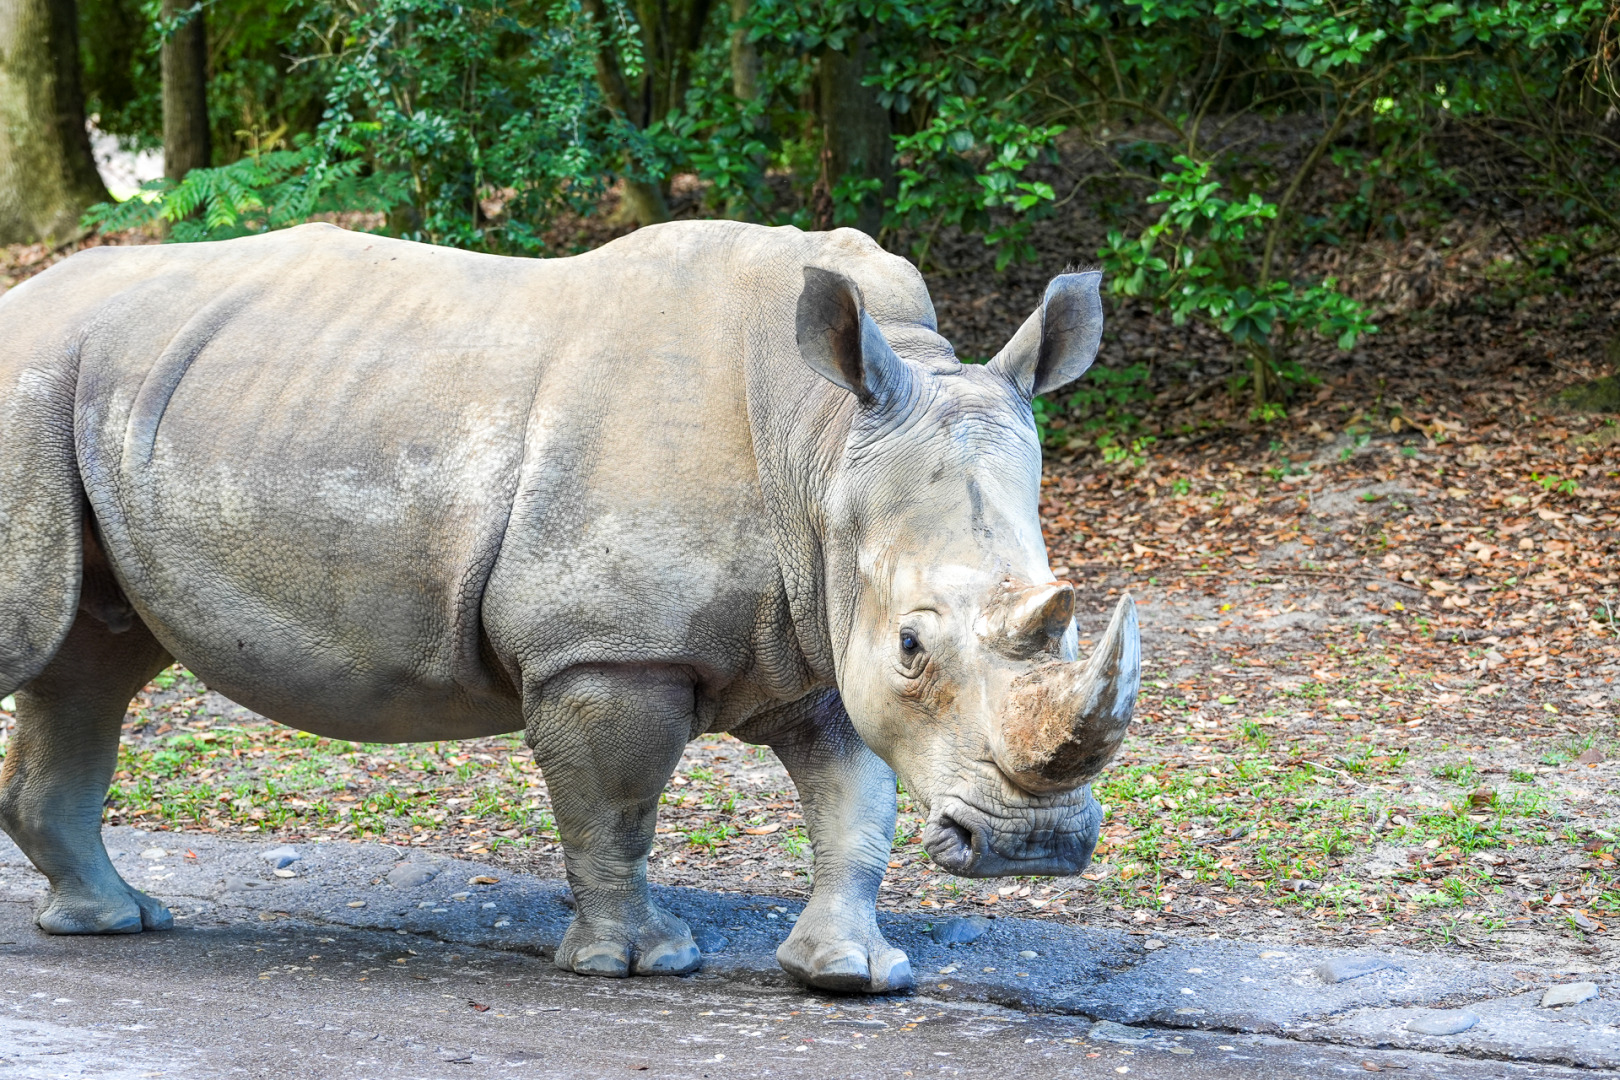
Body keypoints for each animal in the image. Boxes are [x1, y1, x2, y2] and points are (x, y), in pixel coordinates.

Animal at [0, 220, 1138, 992]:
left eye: (1077, 624)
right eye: (913, 644)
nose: (1035, 849)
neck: (821, 441)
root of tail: (28, 293)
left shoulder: (818, 627)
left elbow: (854, 803)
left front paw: (851, 973)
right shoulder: (608, 649)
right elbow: (619, 805)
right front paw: (639, 964)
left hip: (113, 400)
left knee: (91, 665)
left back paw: (115, 921)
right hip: (29, 387)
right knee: (52, 654)